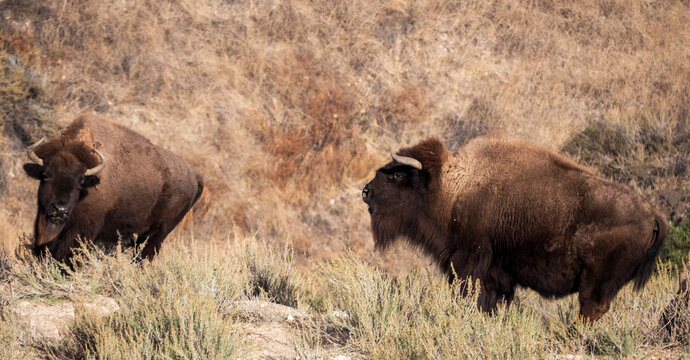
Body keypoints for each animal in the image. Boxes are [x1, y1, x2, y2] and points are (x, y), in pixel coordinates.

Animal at [23, 114, 202, 262]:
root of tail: (194, 176)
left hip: (159, 232)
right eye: (45, 176)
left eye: (80, 181)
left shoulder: (82, 229)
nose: (60, 210)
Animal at [362, 135, 664, 320]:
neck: (453, 188)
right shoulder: (498, 274)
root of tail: (652, 215)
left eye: (398, 174)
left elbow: (473, 295)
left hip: (597, 281)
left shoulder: (468, 263)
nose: (366, 192)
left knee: (591, 307)